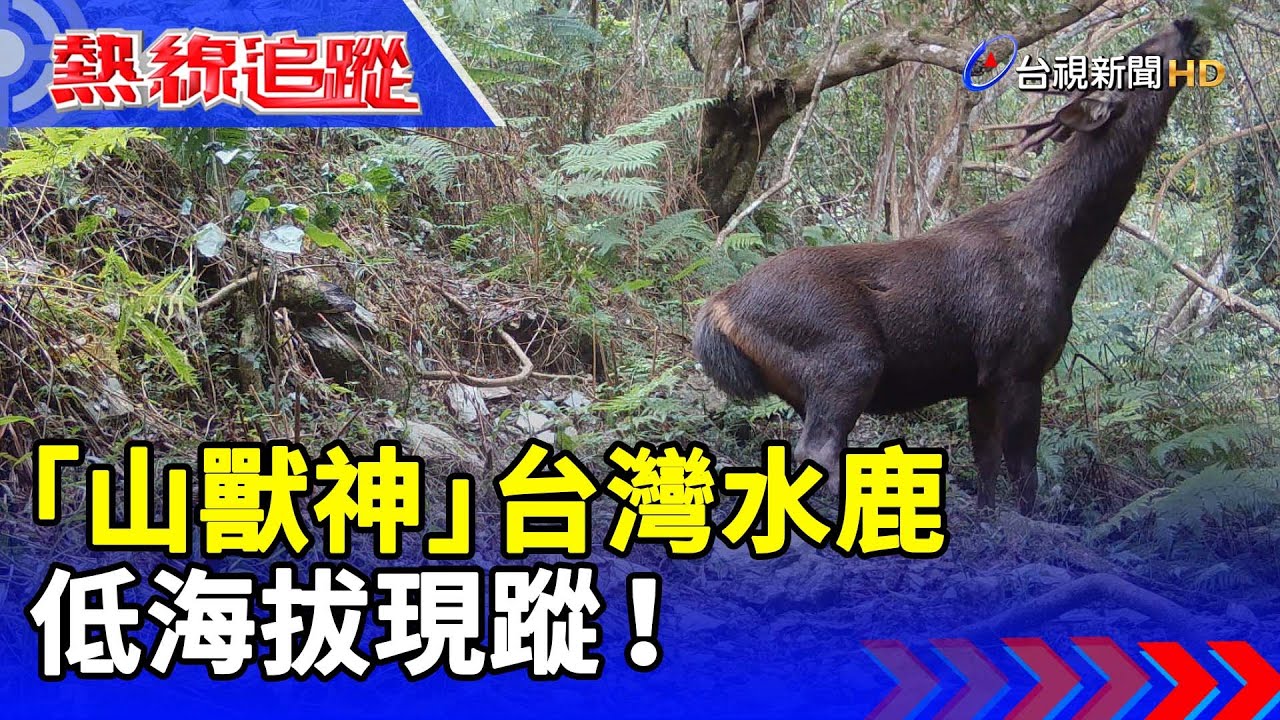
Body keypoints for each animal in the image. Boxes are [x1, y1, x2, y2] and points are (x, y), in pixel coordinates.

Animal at [693, 18, 1208, 514]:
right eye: (1141, 54)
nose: (1187, 21)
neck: (1064, 257)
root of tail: (716, 312)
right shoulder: (1019, 365)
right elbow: (1025, 472)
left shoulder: (979, 380)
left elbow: (986, 467)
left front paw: (985, 514)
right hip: (844, 358)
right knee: (818, 450)